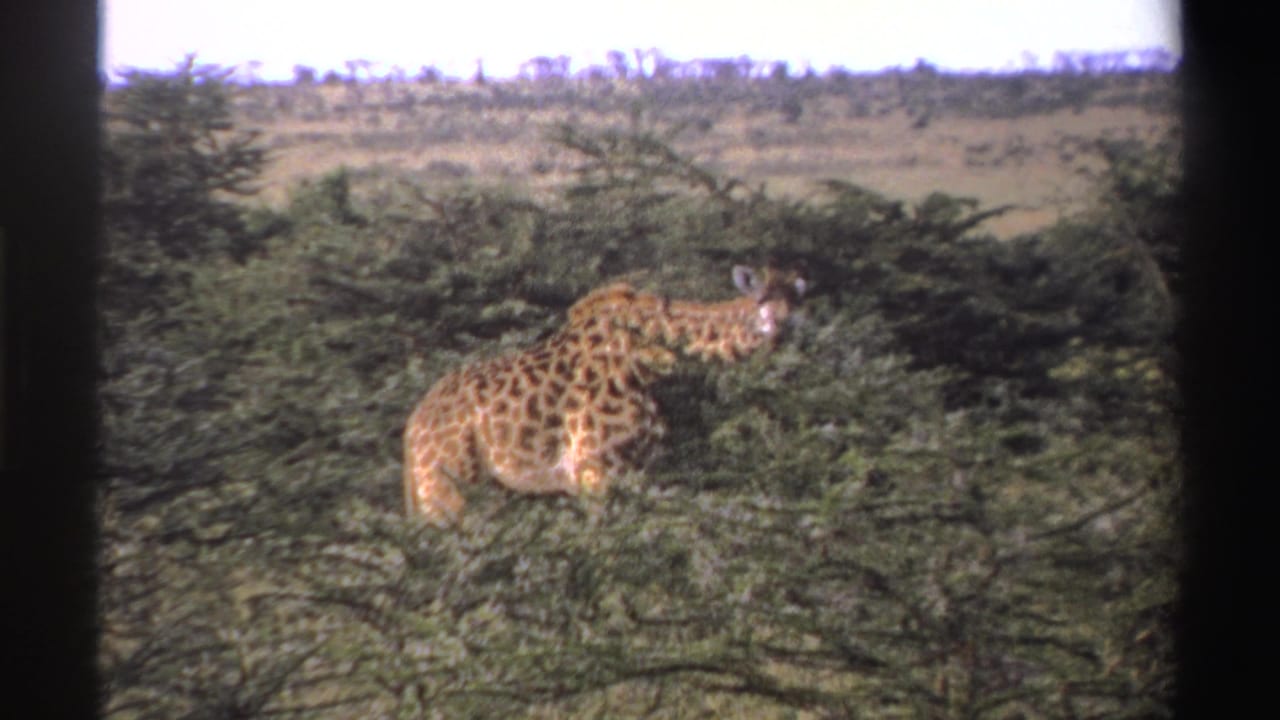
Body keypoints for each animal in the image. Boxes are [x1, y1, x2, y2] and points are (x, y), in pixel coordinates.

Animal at [403, 265, 807, 526]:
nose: (779, 330)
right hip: (447, 489)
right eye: (761, 301)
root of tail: (412, 430)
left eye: (795, 305)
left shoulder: (641, 470)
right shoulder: (594, 470)